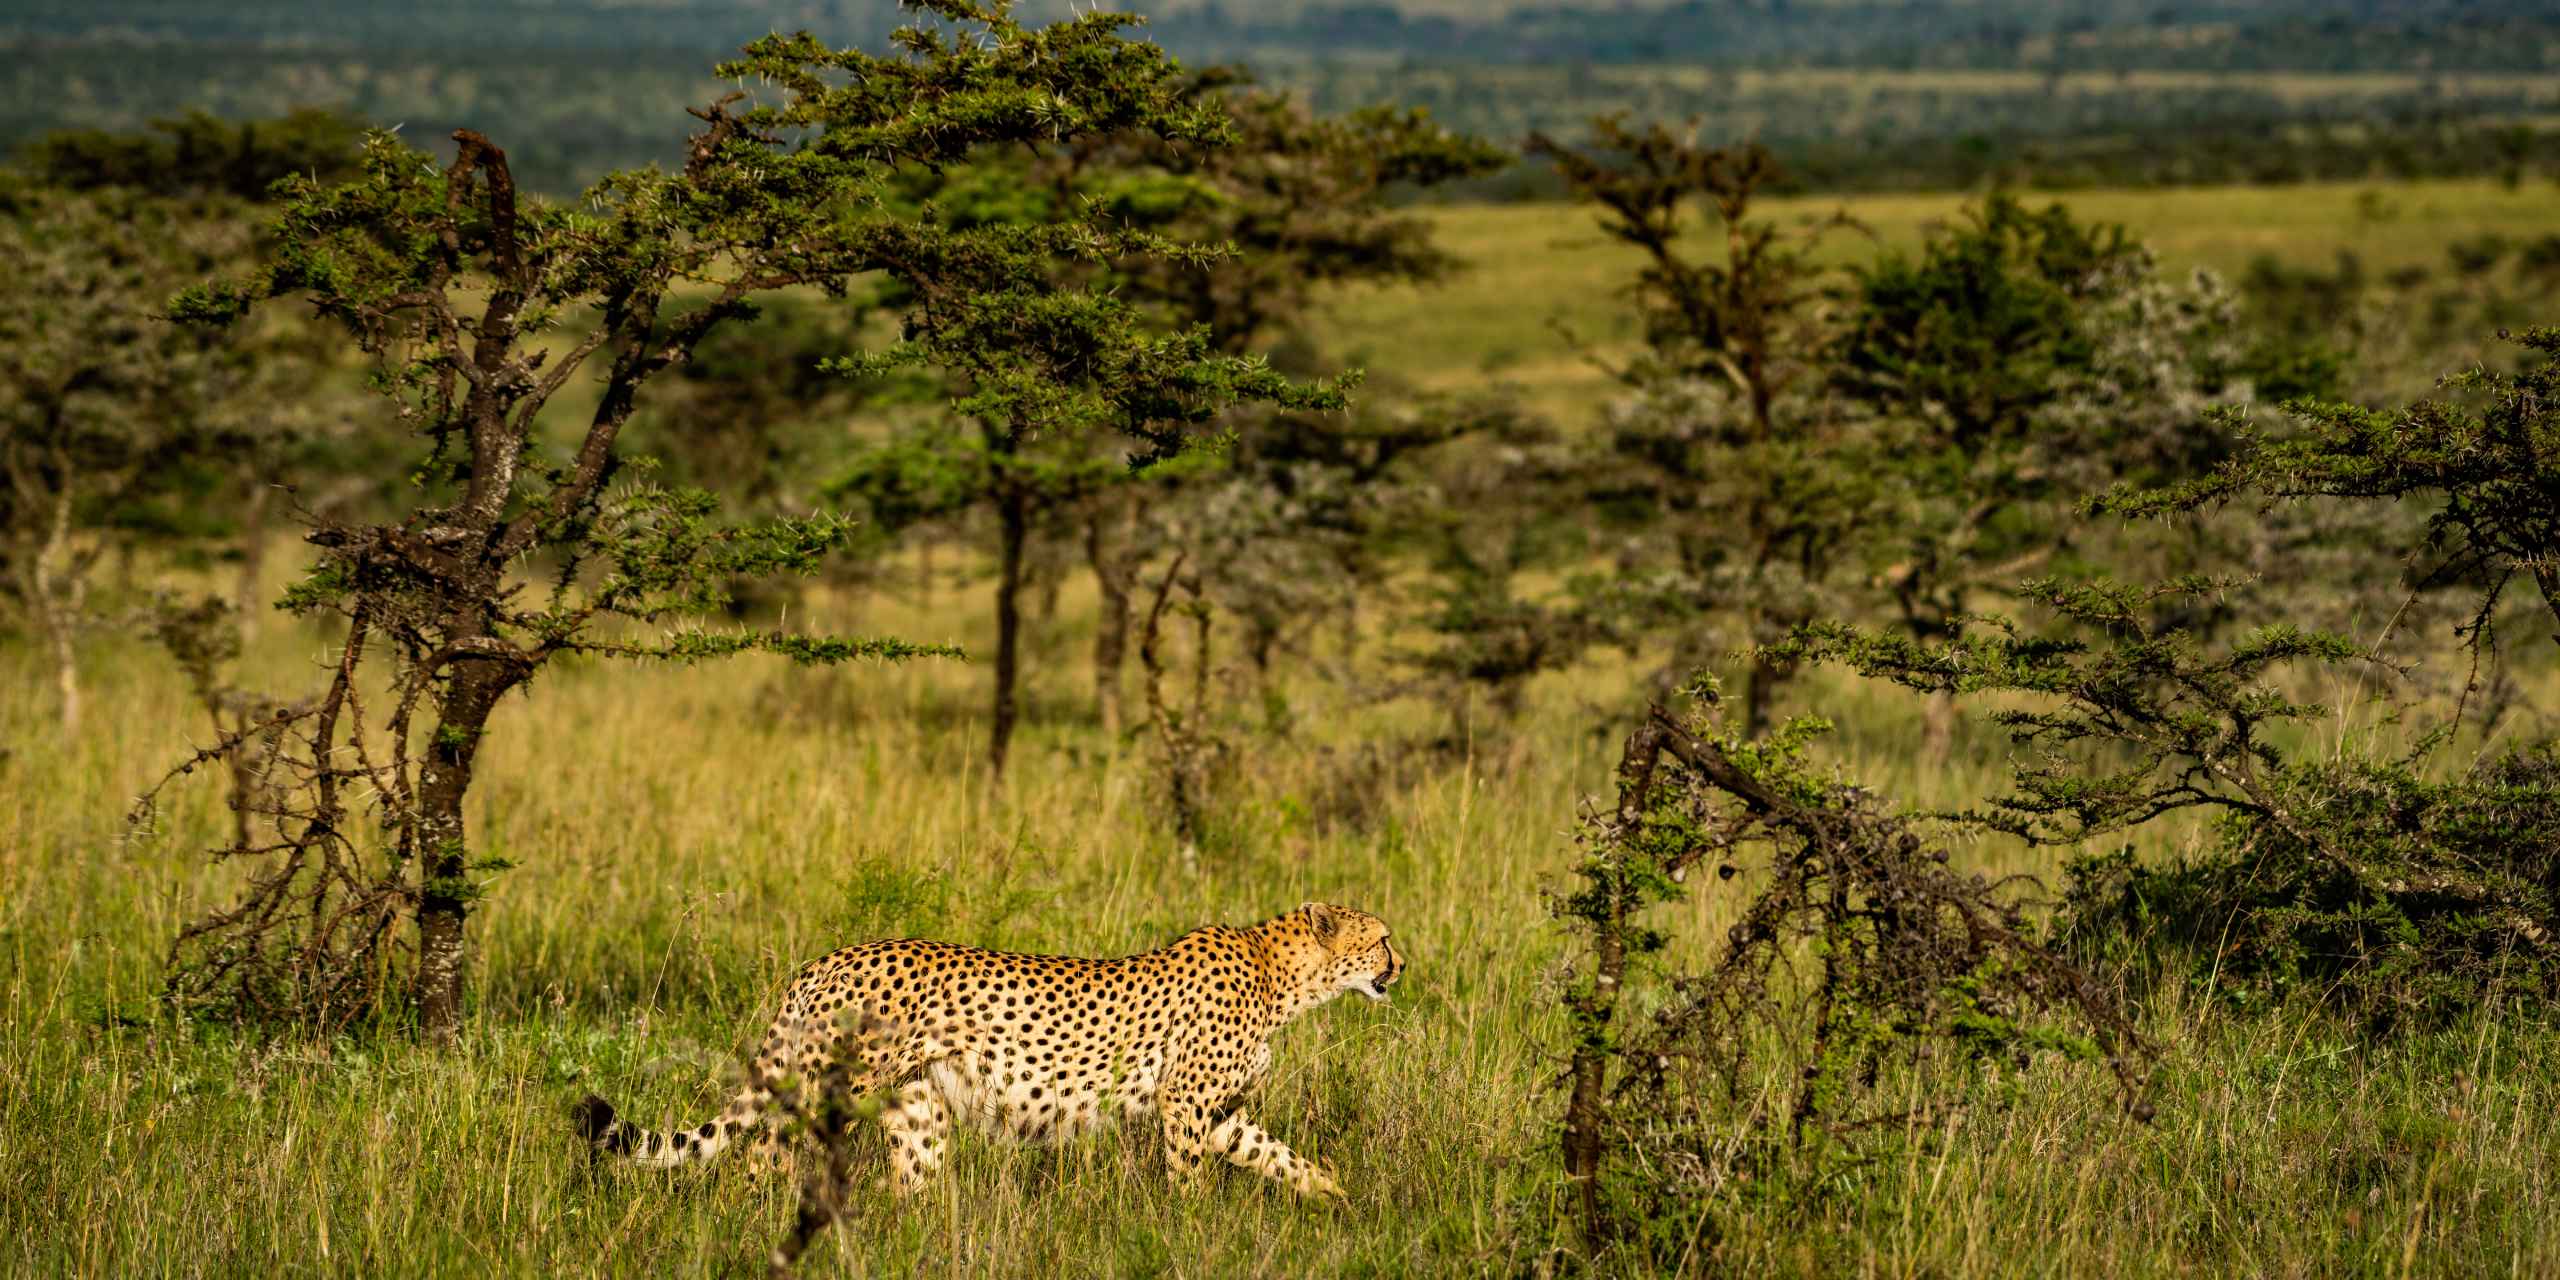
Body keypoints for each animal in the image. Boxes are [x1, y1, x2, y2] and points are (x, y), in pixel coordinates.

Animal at [576, 901, 1402, 1198]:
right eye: (1383, 937)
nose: (1403, 965)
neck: (1281, 974)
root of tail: (827, 958)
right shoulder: (1186, 1104)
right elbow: (1191, 1177)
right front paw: (1193, 1229)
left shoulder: (1218, 1112)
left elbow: (1280, 1155)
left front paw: (1337, 1197)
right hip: (831, 1088)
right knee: (765, 1151)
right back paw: (754, 1215)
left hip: (917, 1111)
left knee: (909, 1183)